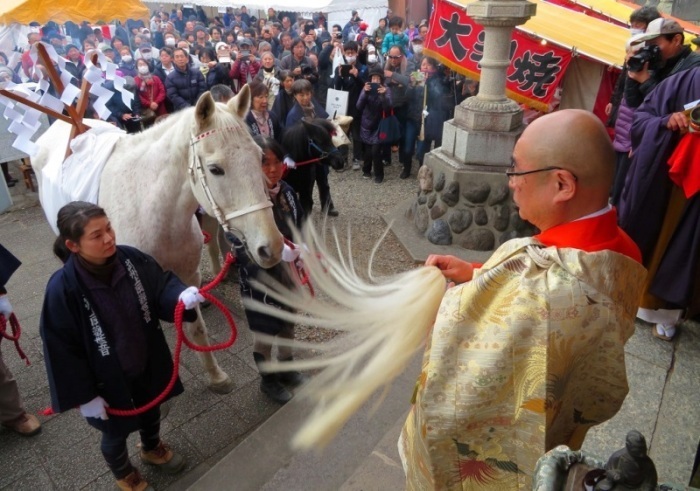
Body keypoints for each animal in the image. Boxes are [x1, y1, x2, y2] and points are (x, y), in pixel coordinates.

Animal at [32, 88, 284, 394]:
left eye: (258, 156)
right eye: (215, 169)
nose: (272, 247)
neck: (155, 215)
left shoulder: (188, 277)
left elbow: (196, 328)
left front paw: (215, 376)